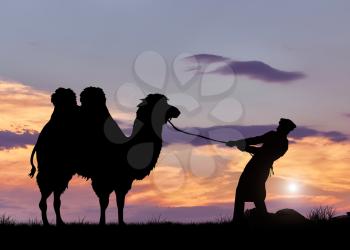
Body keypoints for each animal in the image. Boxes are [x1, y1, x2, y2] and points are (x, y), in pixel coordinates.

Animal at [30, 87, 180, 226]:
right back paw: (47, 223)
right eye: (163, 104)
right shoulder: (103, 178)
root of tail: (42, 136)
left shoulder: (123, 180)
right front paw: (102, 222)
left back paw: (60, 223)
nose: (177, 111)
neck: (127, 148)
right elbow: (104, 202)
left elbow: (120, 203)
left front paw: (121, 223)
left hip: (63, 171)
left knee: (56, 196)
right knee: (45, 194)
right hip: (50, 166)